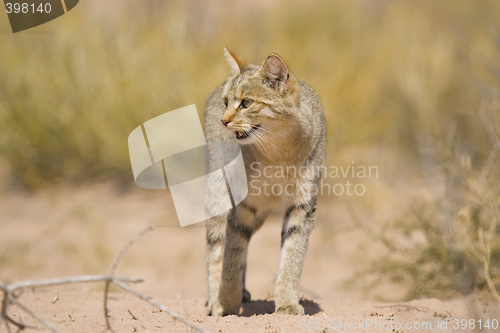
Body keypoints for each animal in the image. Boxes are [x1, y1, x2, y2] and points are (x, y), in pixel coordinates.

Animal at [204, 48, 328, 316]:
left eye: (246, 103)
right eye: (226, 102)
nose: (223, 120)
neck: (280, 152)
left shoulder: (302, 205)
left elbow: (292, 254)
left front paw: (287, 302)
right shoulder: (240, 204)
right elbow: (230, 255)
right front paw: (226, 303)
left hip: (259, 213)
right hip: (220, 196)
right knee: (216, 247)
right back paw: (213, 300)